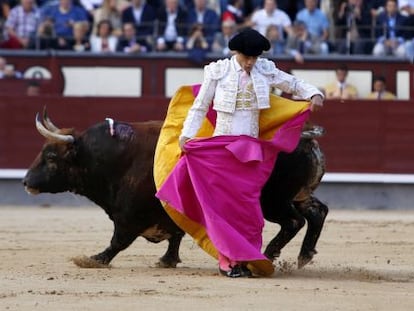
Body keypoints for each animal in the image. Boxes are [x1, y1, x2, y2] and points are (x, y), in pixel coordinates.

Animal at [22, 114, 328, 270]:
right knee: (317, 212)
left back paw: (268, 254)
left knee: (294, 221)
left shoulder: (129, 215)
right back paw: (303, 256)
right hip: (297, 195)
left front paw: (93, 259)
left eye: (51, 156)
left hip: (272, 201)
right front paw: (167, 260)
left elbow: (118, 241)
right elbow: (175, 237)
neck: (115, 156)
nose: (25, 182)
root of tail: (305, 137)